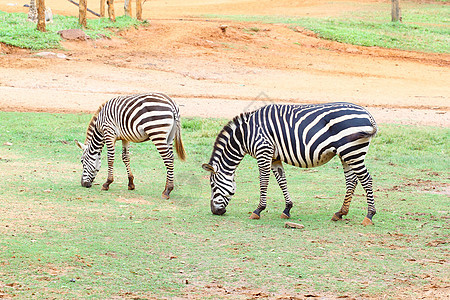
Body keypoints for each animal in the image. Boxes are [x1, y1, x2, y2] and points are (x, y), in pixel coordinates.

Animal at [202, 102, 378, 225]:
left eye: (212, 185)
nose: (214, 211)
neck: (245, 135)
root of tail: (367, 113)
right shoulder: (274, 157)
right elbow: (282, 181)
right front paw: (287, 208)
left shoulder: (263, 151)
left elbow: (264, 181)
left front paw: (258, 210)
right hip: (347, 154)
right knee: (352, 181)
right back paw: (340, 213)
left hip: (352, 151)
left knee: (366, 179)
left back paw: (369, 215)